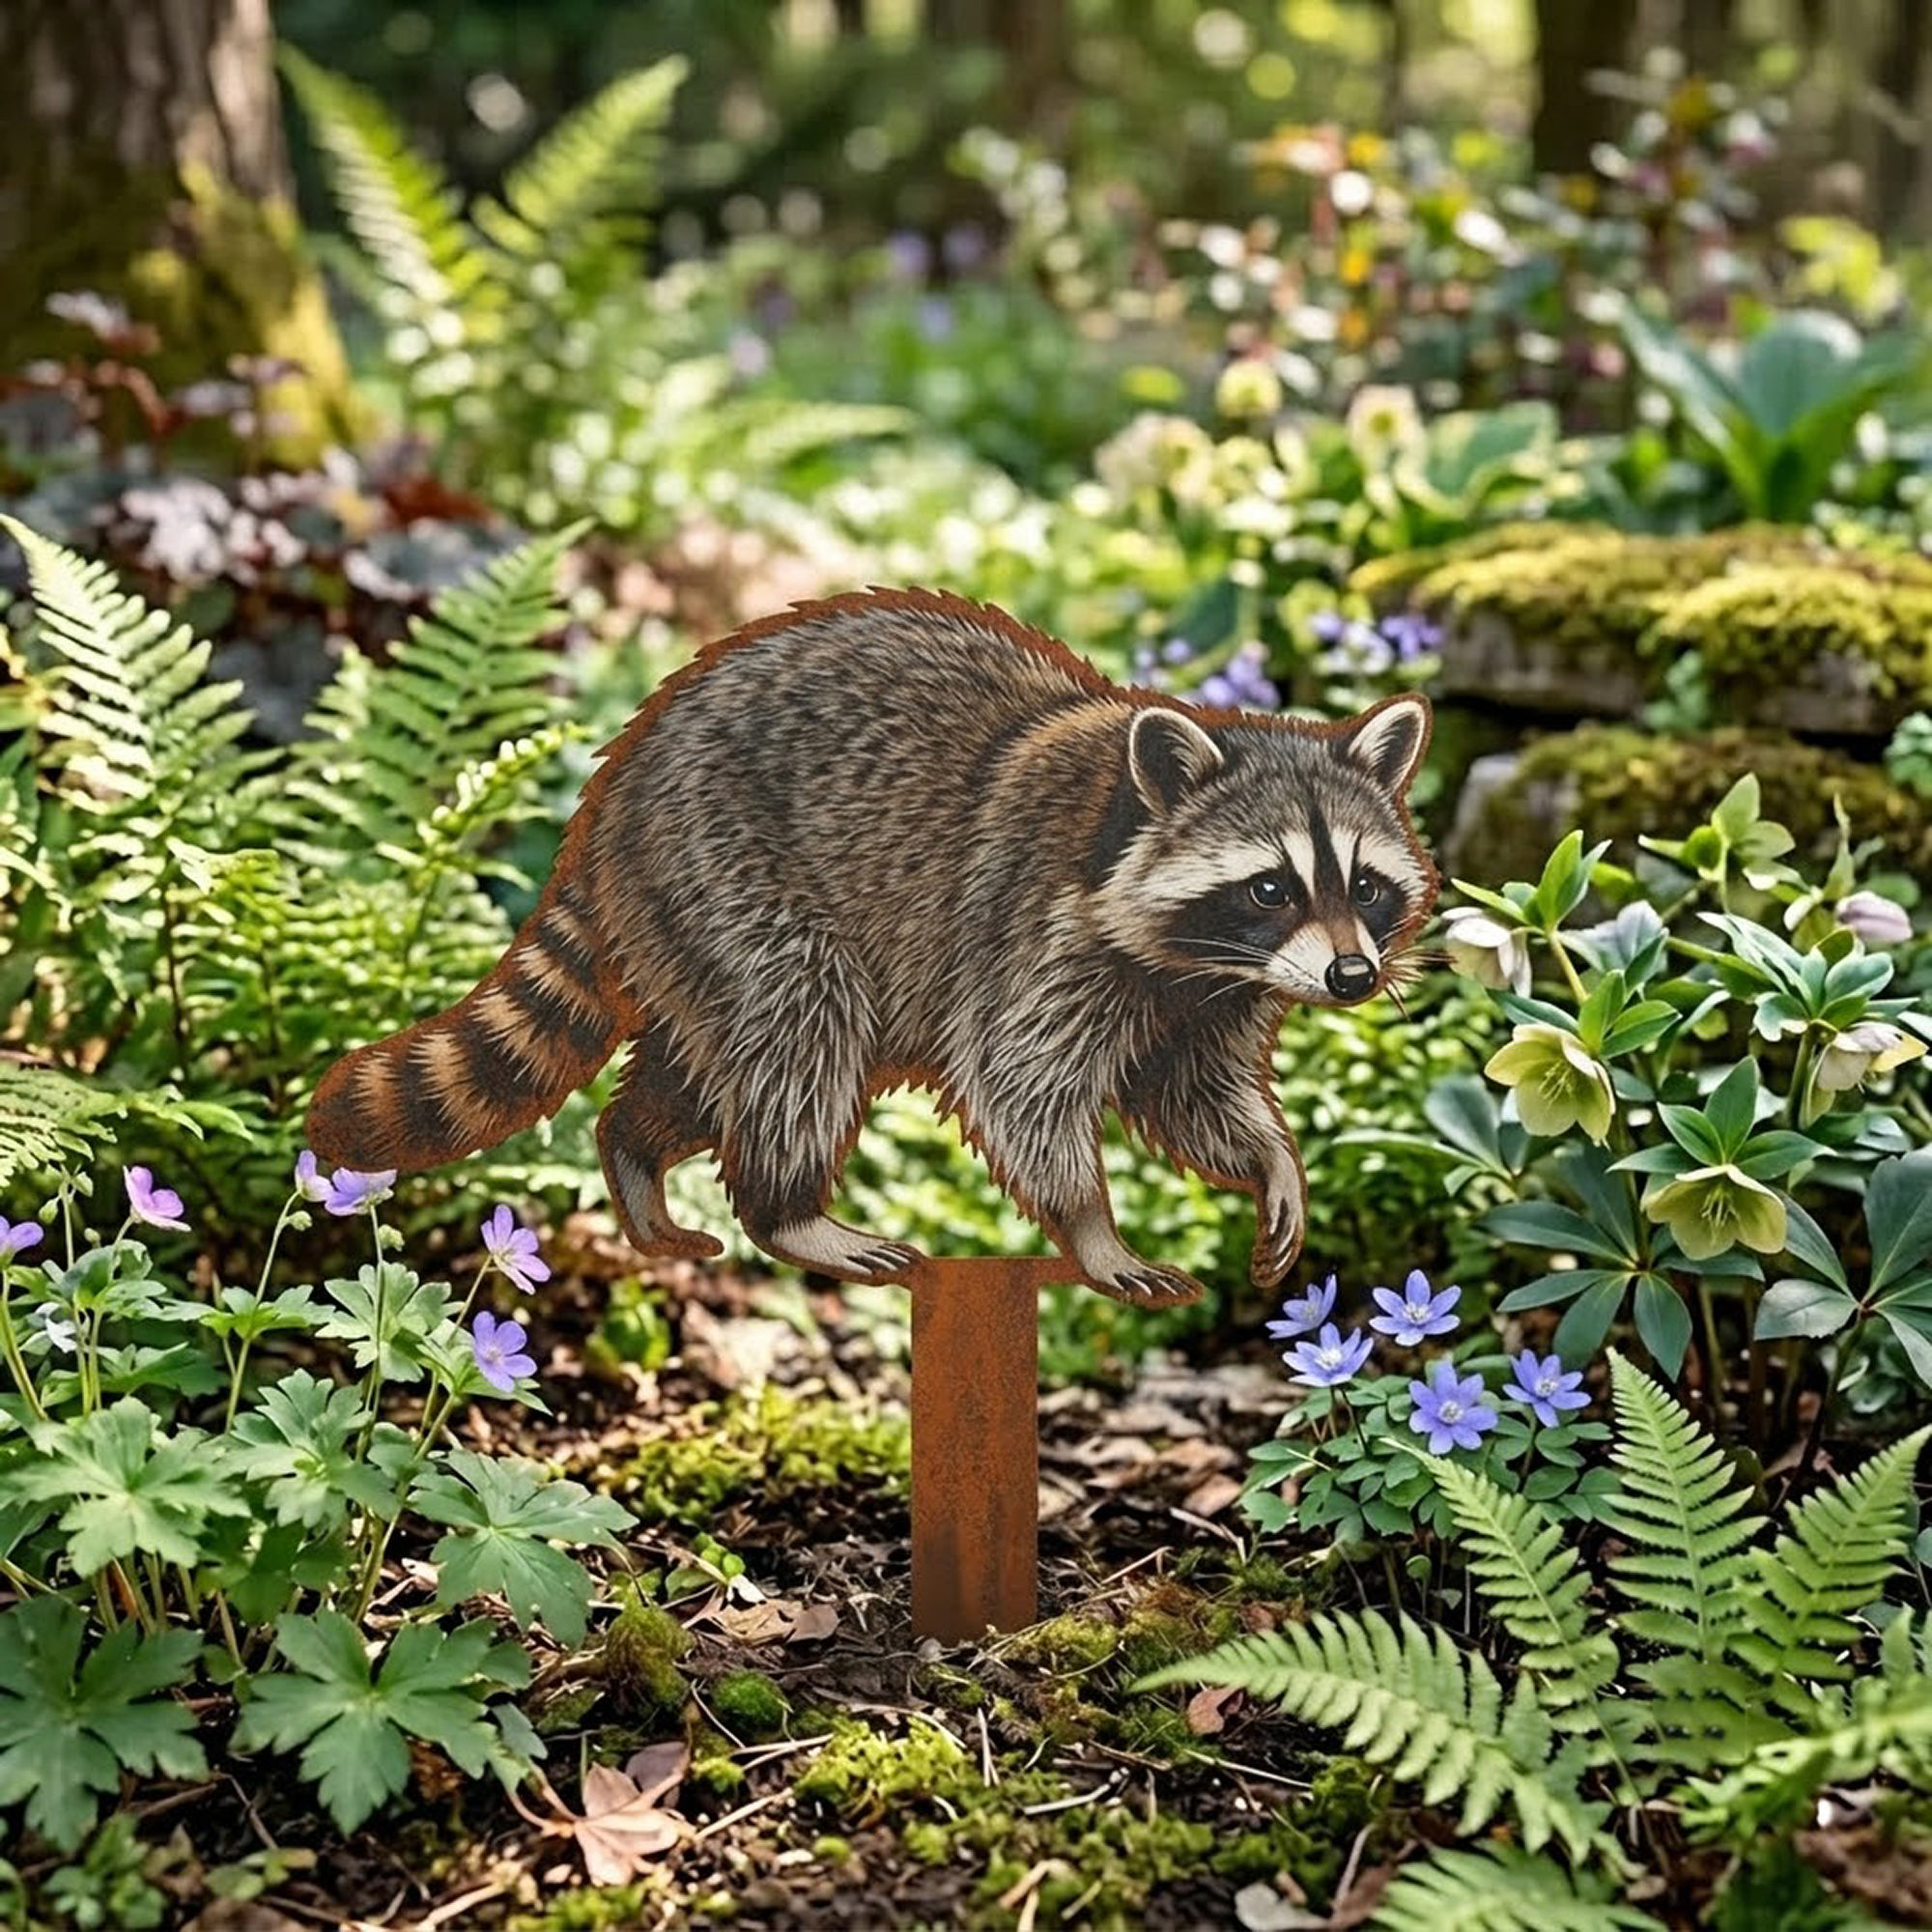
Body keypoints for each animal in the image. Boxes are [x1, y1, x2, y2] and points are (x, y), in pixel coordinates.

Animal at [306, 590, 1438, 1305]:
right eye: (1269, 886)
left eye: (1366, 887)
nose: (1352, 975)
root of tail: (612, 791)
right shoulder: (1036, 930)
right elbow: (1017, 1084)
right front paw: (1090, 1225)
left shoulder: (1207, 995)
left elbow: (1199, 1095)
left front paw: (1270, 1162)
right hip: (724, 863)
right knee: (800, 1025)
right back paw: (787, 1209)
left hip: (687, 915)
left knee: (707, 1062)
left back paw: (634, 1150)